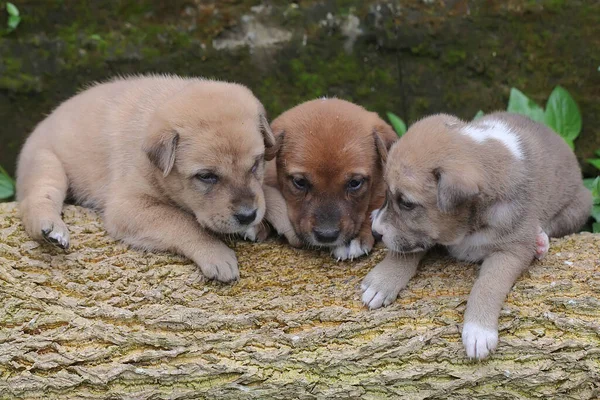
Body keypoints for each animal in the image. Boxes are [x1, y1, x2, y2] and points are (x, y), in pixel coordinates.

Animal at [17, 74, 276, 282]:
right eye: (206, 176)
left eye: (256, 164)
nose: (247, 215)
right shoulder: (128, 205)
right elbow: (182, 222)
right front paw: (216, 254)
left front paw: (256, 226)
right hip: (46, 162)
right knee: (38, 197)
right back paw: (51, 228)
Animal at [366, 111, 592, 360]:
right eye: (387, 193)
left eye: (407, 203)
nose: (376, 232)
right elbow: (408, 248)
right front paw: (382, 281)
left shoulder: (511, 251)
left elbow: (488, 284)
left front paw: (478, 331)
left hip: (578, 206)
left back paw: (541, 241)